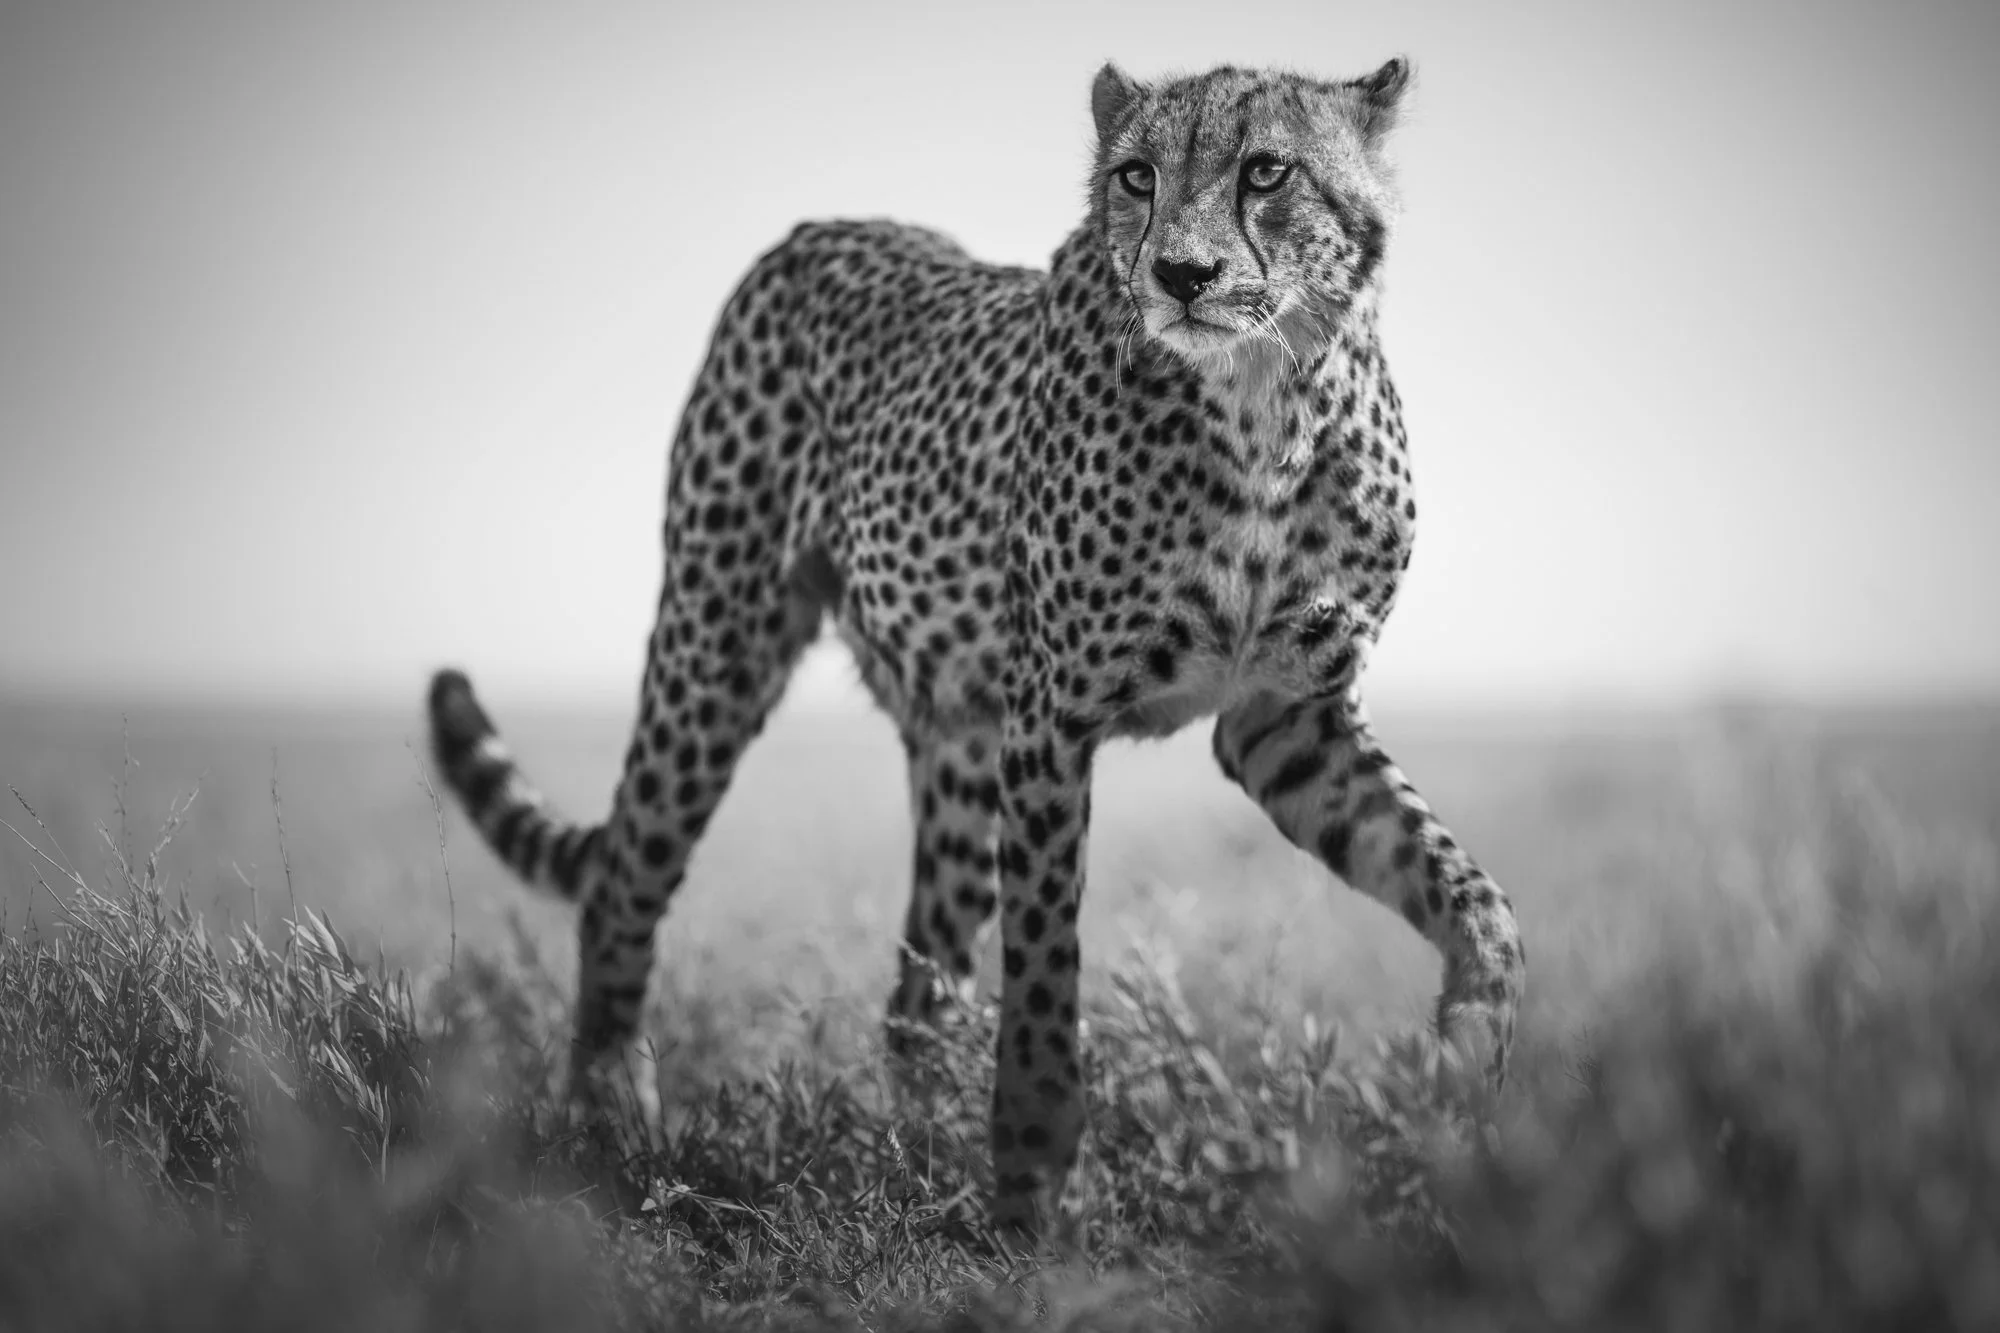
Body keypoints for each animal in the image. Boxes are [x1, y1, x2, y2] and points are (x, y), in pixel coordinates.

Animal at [428, 55, 1525, 1232]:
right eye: (1137, 176)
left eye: (1266, 171)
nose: (1181, 274)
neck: (1262, 402)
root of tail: (824, 225)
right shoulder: (1052, 720)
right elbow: (1043, 972)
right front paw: (1036, 1185)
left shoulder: (1281, 718)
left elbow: (1475, 899)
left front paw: (1465, 1073)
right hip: (718, 640)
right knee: (625, 877)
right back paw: (610, 1118)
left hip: (953, 736)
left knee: (916, 990)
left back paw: (909, 1156)